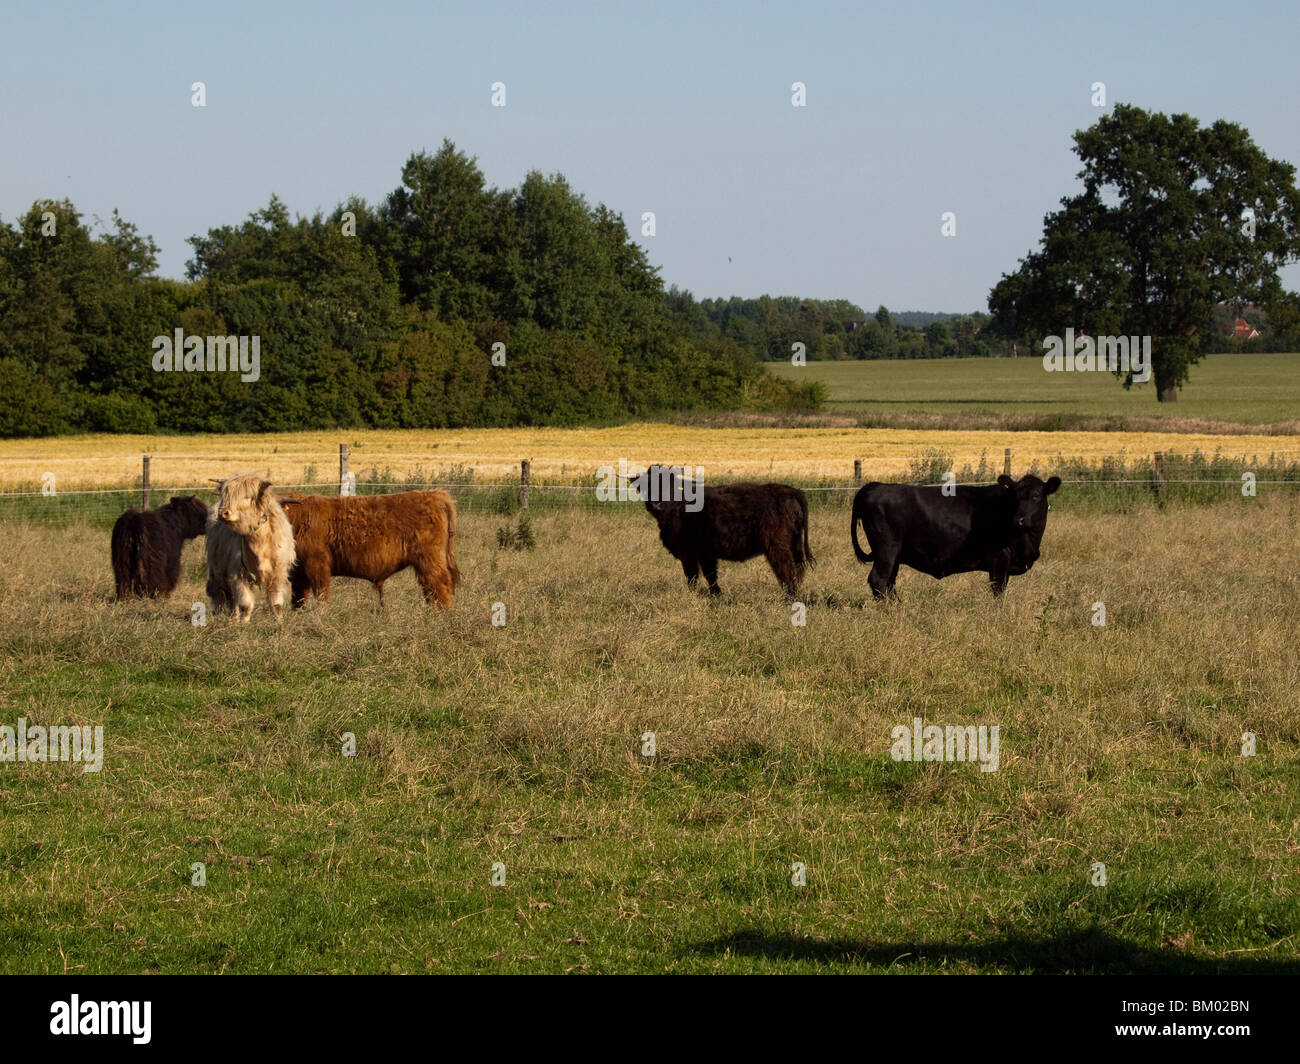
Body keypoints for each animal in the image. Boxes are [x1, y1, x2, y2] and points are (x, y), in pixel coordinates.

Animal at [205, 474, 297, 622]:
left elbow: (276, 603)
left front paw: (279, 621)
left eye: (247, 496)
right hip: (217, 570)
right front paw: (244, 622)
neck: (259, 542)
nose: (223, 513)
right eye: (225, 494)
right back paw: (230, 616)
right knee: (222, 594)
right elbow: (245, 604)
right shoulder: (238, 573)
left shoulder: (277, 572)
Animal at [275, 490, 461, 609]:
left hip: (429, 559)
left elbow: (322, 595)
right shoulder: (298, 572)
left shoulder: (317, 564)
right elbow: (298, 598)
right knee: (431, 588)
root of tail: (434, 494)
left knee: (439, 584)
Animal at [631, 464, 813, 596]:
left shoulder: (690, 553)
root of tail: (789, 490)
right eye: (647, 485)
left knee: (786, 568)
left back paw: (789, 595)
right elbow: (709, 574)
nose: (656, 504)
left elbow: (695, 575)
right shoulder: (705, 553)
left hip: (777, 545)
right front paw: (716, 594)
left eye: (670, 484)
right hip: (795, 542)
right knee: (798, 567)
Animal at [851, 473, 1061, 599]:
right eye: (1015, 497)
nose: (1019, 520)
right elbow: (998, 590)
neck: (1029, 542)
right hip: (886, 549)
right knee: (879, 580)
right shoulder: (1000, 559)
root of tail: (875, 486)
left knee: (889, 582)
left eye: (1036, 496)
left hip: (894, 555)